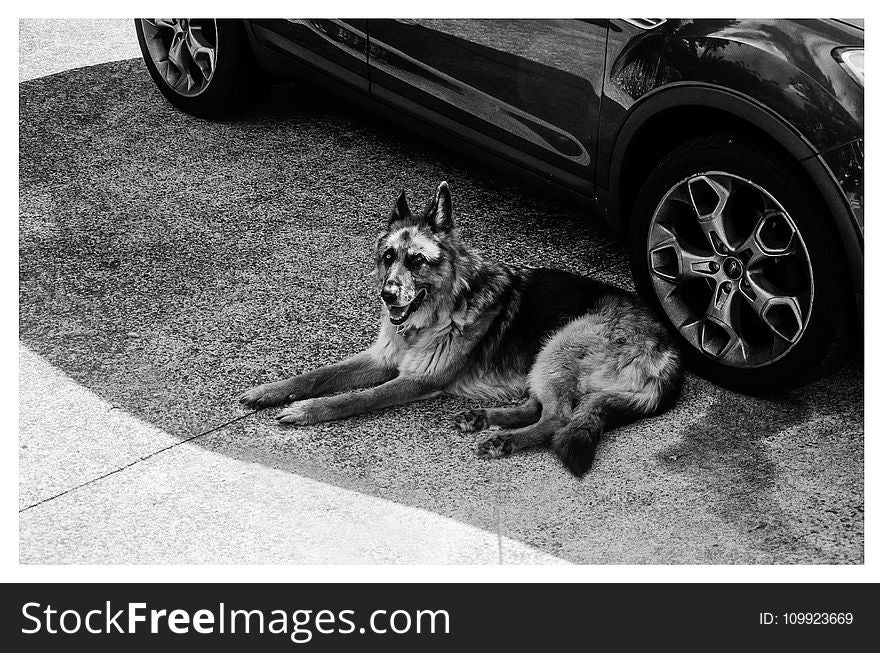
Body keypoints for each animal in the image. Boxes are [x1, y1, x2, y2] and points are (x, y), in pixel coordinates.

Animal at [239, 181, 680, 476]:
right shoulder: (381, 359)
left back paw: (503, 439)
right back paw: (483, 417)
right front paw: (272, 391)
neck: (437, 313)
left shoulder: (416, 379)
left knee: (558, 417)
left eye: (417, 261)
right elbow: (319, 375)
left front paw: (308, 410)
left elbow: (353, 399)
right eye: (388, 257)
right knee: (540, 406)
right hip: (545, 358)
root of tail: (668, 348)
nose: (387, 295)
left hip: (558, 345)